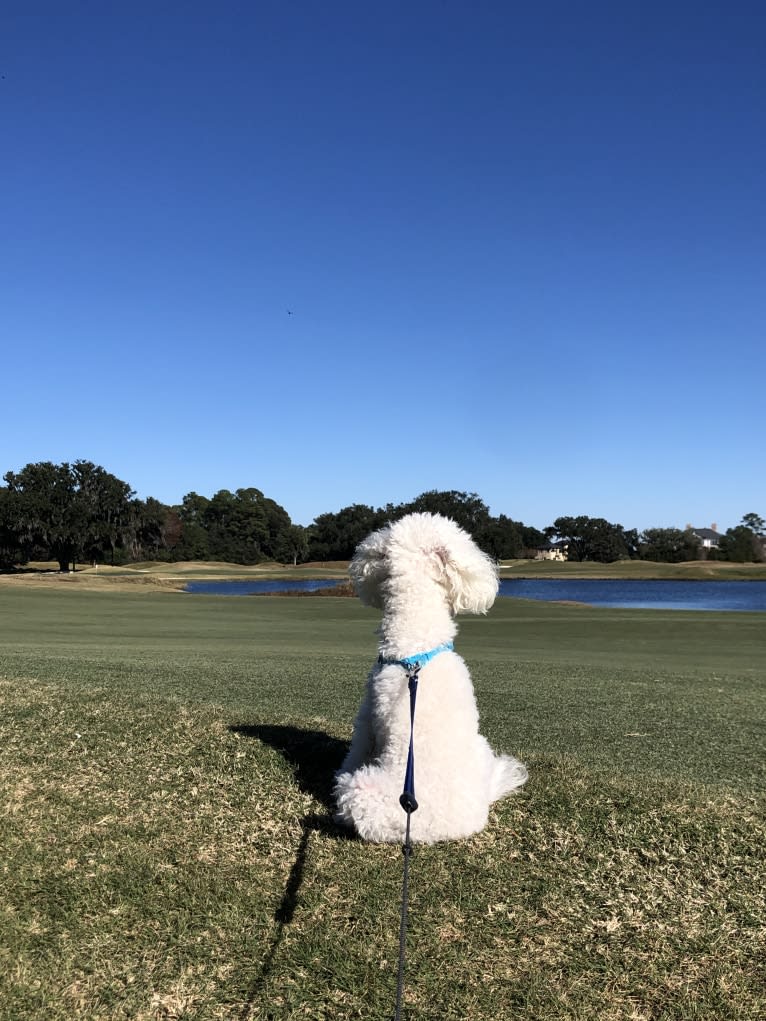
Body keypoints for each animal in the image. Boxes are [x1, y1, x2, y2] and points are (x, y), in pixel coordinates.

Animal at [334, 514, 527, 841]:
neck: (417, 643)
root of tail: (448, 827)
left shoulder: (368, 715)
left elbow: (355, 752)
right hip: (480, 747)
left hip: (363, 790)